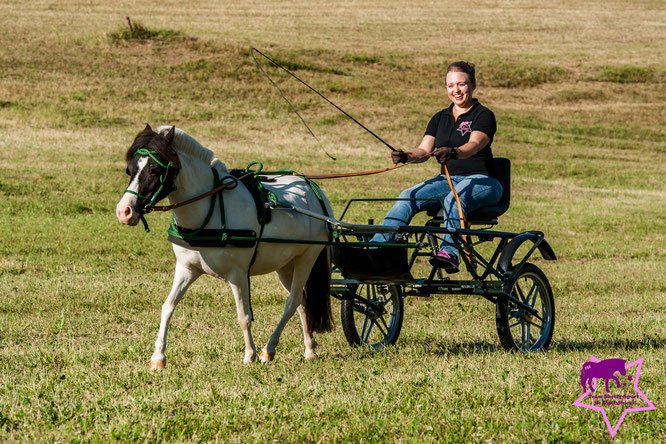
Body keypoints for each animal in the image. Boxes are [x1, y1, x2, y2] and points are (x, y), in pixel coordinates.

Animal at [115, 125, 332, 368]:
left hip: (307, 258)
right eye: (130, 170)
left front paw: (249, 354)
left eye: (154, 170)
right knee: (301, 302)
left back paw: (269, 348)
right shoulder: (186, 269)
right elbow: (167, 307)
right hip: (286, 265)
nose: (124, 211)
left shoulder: (238, 274)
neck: (208, 212)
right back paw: (309, 348)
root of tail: (314, 190)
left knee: (292, 301)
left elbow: (243, 316)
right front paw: (158, 357)